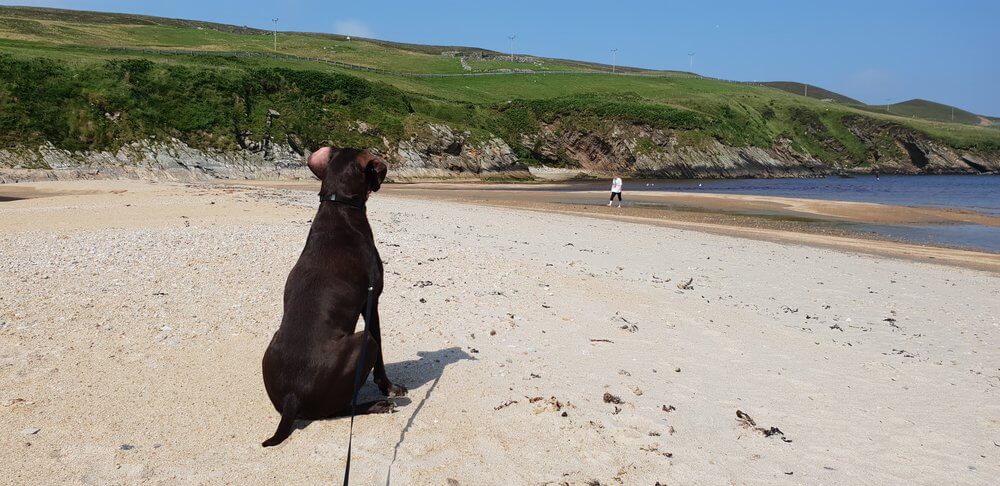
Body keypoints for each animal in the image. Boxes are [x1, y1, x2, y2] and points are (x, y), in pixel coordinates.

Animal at [266, 147, 410, 448]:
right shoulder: (372, 299)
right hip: (362, 343)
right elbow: (380, 350)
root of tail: (292, 398)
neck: (338, 205)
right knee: (342, 408)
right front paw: (389, 387)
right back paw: (378, 404)